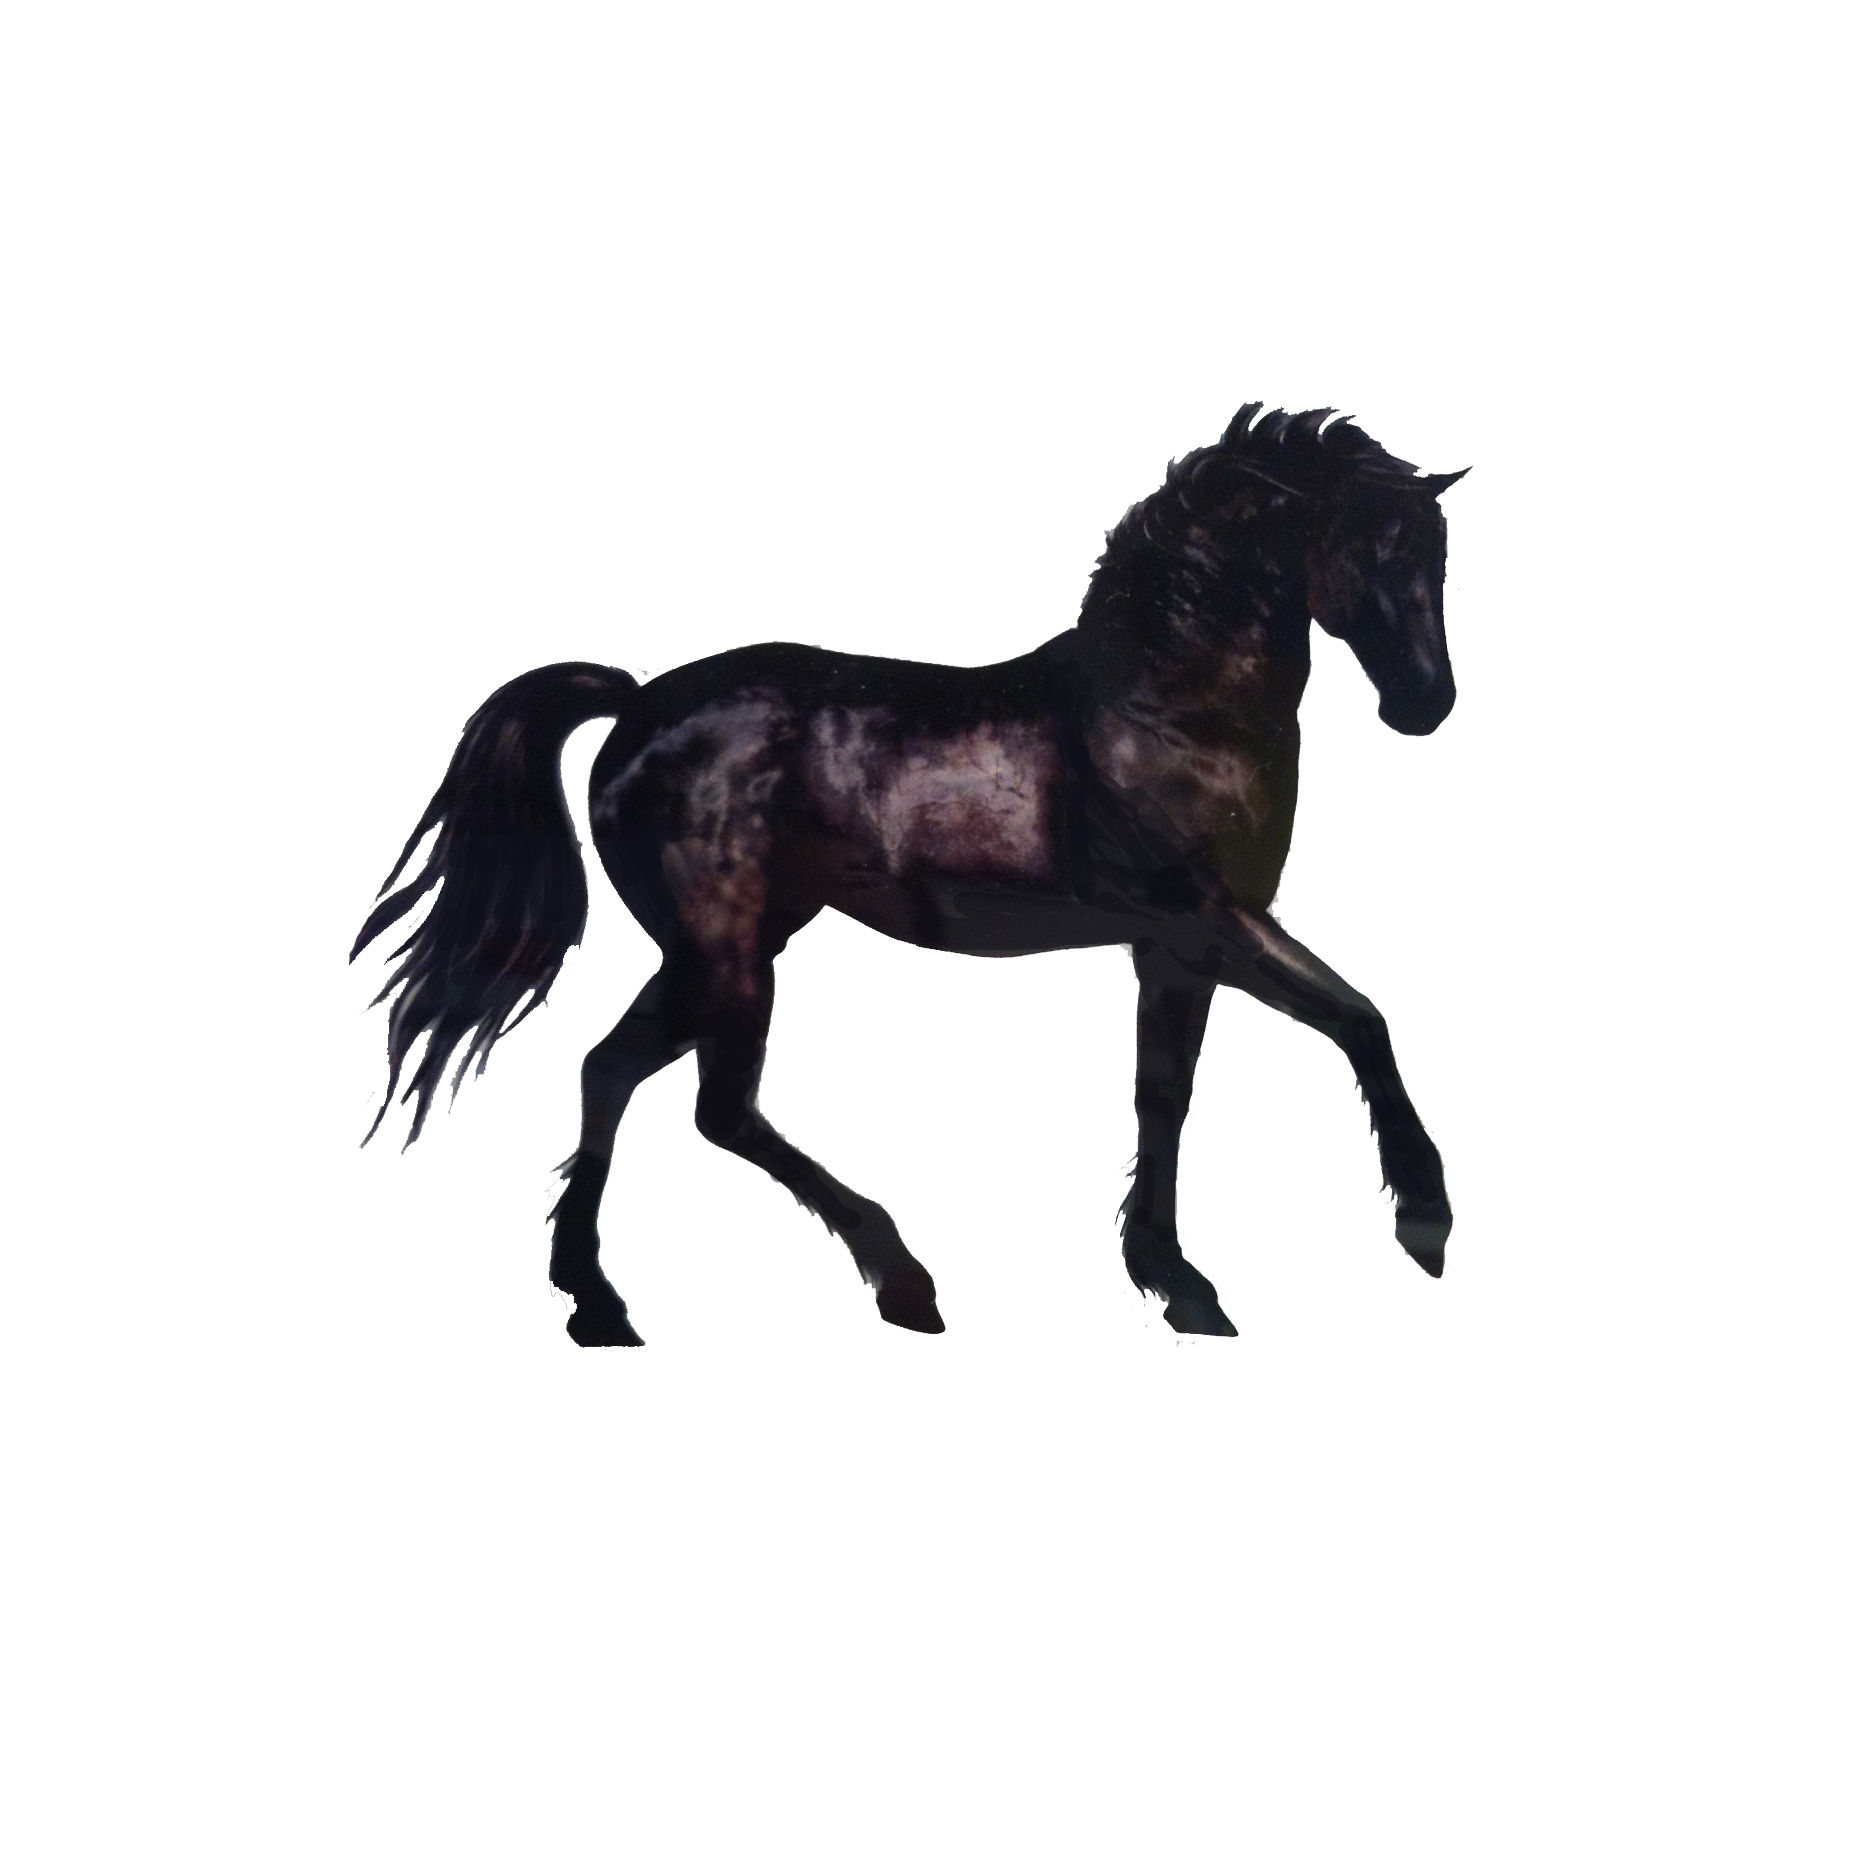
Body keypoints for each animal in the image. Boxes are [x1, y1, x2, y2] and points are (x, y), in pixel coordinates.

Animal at [353, 403, 1466, 1345]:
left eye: (1439, 554)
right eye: (1367, 544)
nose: (1425, 703)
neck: (1163, 706)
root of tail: (632, 709)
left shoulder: (1173, 948)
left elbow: (1164, 1094)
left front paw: (1177, 1284)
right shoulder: (1209, 917)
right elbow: (1359, 1017)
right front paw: (1424, 1220)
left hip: (719, 950)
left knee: (610, 1070)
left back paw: (597, 1301)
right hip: (730, 956)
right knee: (717, 1109)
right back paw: (903, 1281)